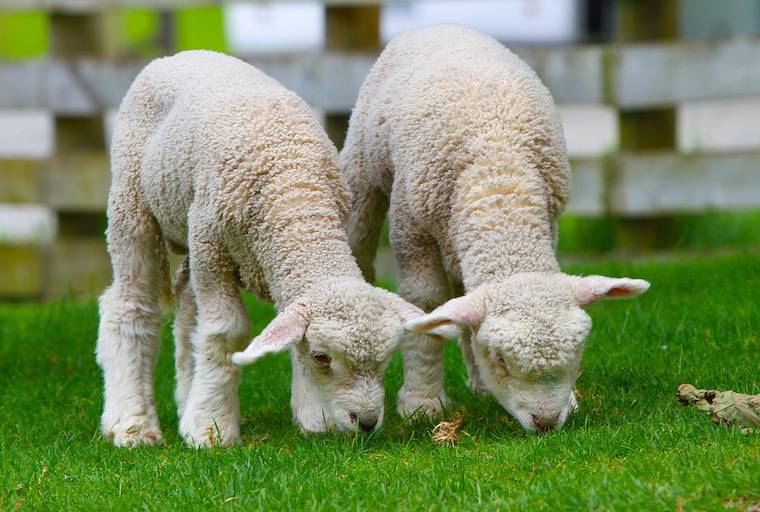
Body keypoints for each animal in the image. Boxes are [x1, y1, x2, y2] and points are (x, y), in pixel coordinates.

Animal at [95, 50, 432, 448]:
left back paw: (187, 399)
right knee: (129, 304)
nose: (365, 422)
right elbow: (226, 332)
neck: (293, 191)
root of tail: (177, 55)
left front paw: (312, 417)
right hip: (133, 202)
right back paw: (133, 424)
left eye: (386, 358)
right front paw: (212, 427)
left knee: (188, 311)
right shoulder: (212, 247)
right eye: (322, 357)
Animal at [340, 26, 650, 434]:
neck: (499, 179)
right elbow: (425, 301)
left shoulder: (548, 221)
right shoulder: (412, 229)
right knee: (361, 238)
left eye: (578, 352)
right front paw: (422, 402)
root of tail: (441, 26)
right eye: (500, 359)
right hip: (365, 167)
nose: (546, 422)